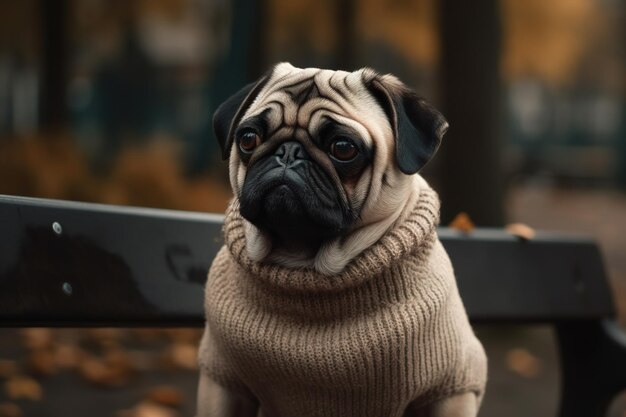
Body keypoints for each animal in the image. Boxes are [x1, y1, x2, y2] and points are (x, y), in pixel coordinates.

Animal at [197, 63, 486, 416]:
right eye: (249, 139)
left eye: (343, 148)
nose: (288, 151)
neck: (304, 261)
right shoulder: (222, 381)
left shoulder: (449, 390)